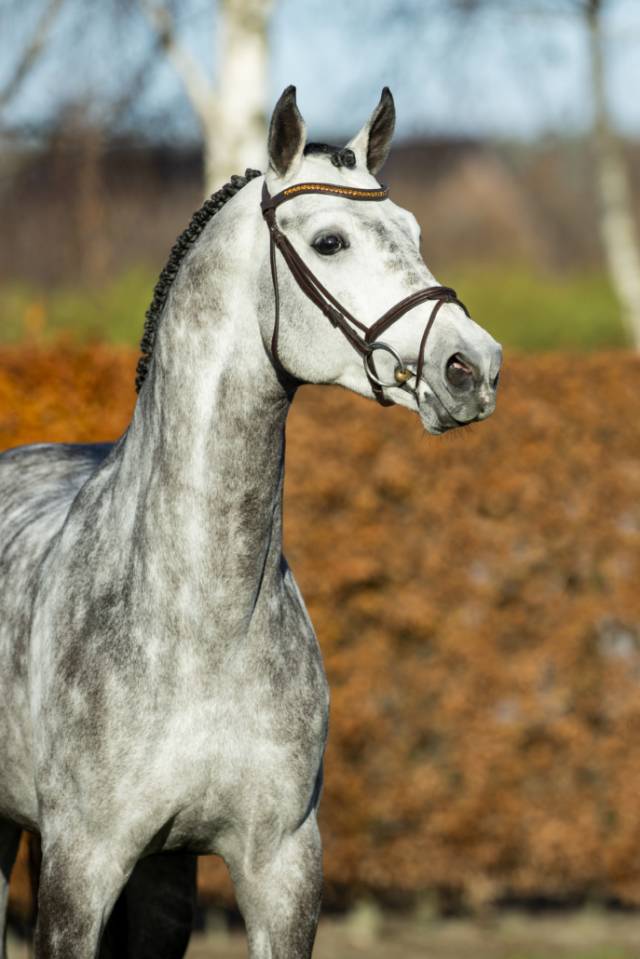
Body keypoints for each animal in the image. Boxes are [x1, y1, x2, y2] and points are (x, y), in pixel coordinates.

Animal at [0, 86, 501, 958]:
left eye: (413, 232)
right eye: (330, 241)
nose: (473, 367)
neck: (200, 620)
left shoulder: (281, 867)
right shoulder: (78, 869)